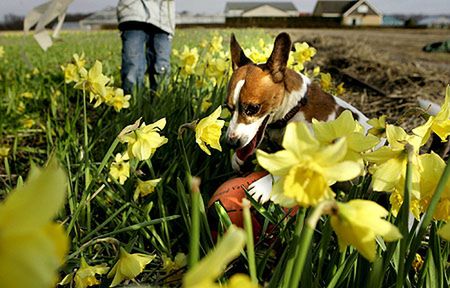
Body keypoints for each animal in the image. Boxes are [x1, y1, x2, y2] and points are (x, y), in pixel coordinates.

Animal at [227, 32, 370, 202]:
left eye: (253, 108)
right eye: (228, 108)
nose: (230, 143)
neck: (295, 108)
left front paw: (264, 185)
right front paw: (237, 159)